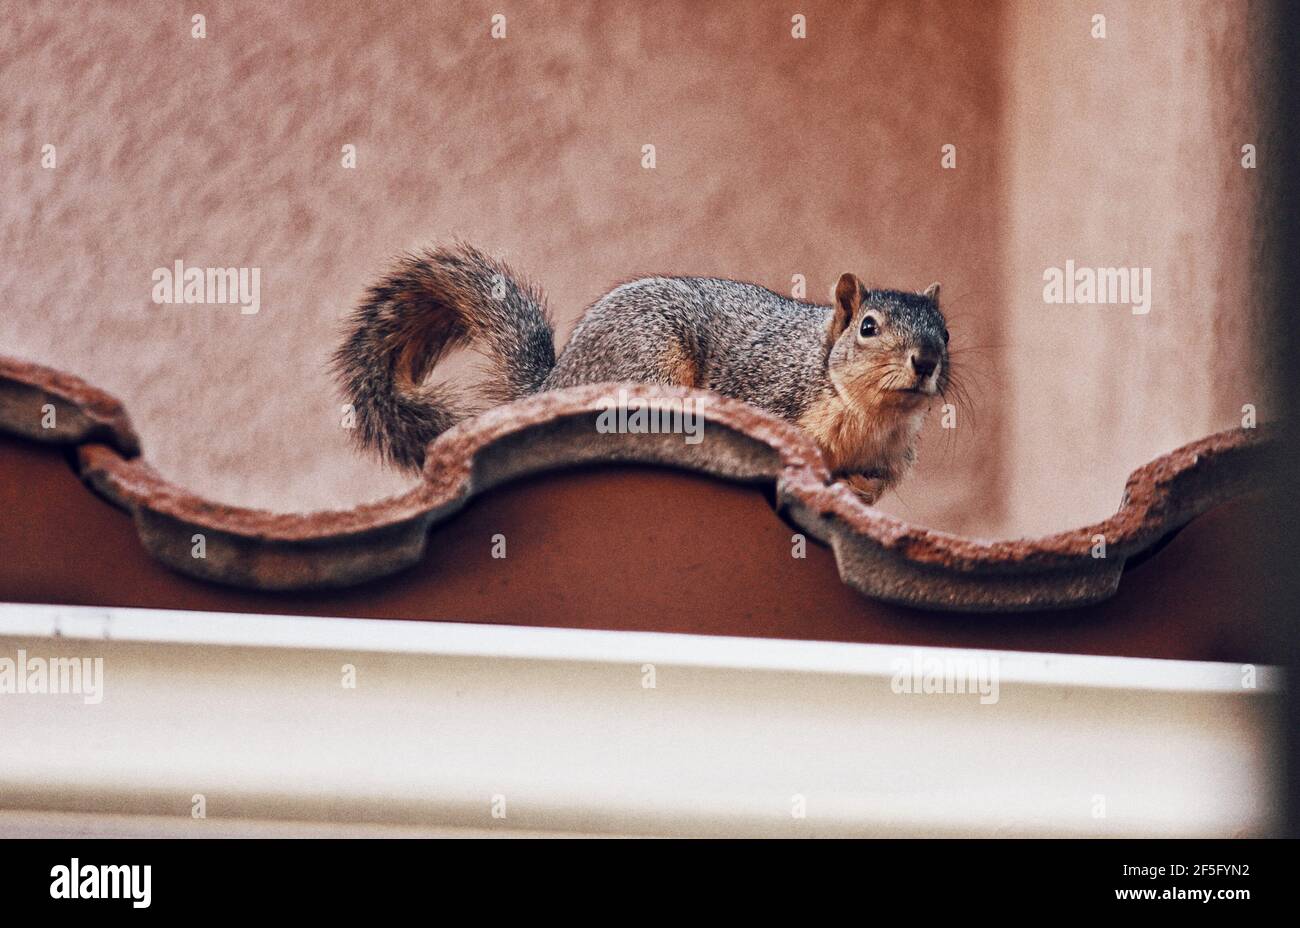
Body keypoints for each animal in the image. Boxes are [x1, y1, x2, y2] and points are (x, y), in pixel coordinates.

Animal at [330, 239, 951, 499]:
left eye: (946, 332)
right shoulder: (771, 393)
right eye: (867, 327)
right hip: (652, 357)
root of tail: (556, 381)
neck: (869, 414)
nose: (926, 360)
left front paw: (860, 486)